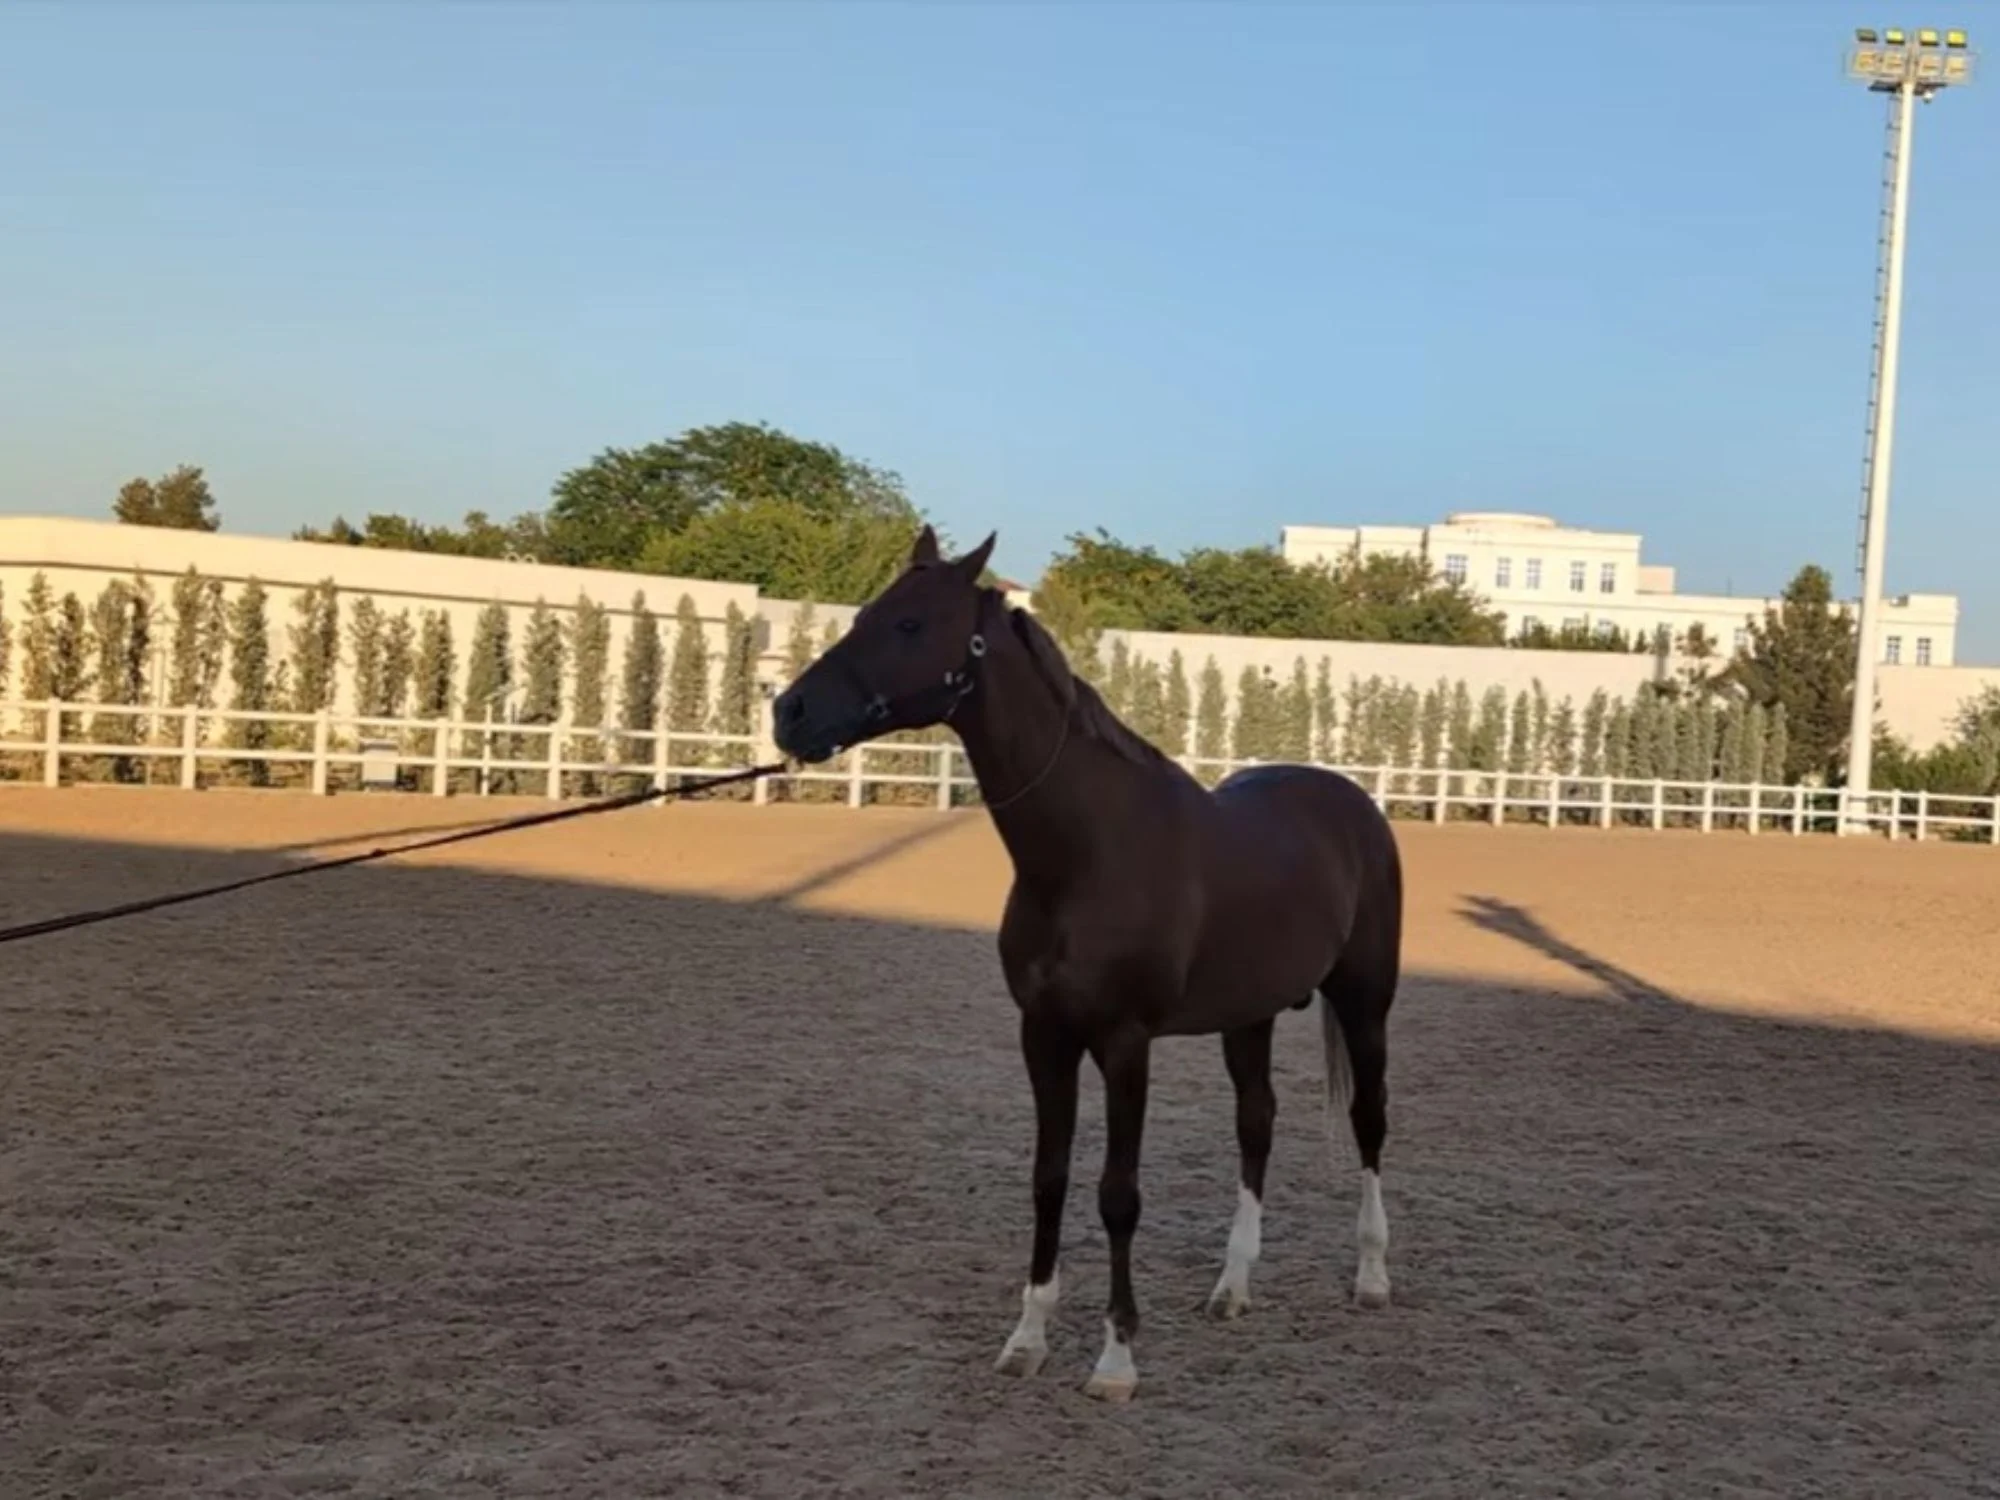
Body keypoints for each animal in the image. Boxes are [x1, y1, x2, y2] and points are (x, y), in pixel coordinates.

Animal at [772, 525, 1403, 1402]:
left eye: (910, 624)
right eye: (865, 614)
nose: (787, 713)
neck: (1088, 854)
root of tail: (1355, 805)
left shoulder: (1124, 1043)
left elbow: (1117, 1195)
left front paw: (1115, 1358)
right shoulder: (1044, 1037)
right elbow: (1050, 1179)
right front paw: (1028, 1339)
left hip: (1365, 1002)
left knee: (1370, 1119)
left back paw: (1371, 1277)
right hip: (1250, 1017)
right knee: (1257, 1124)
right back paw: (1232, 1286)